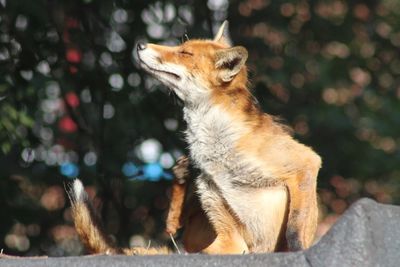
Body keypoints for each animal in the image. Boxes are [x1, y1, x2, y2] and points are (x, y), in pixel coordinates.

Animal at [66, 20, 322, 255]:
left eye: (185, 54)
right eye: (181, 47)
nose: (140, 45)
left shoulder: (306, 162)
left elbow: (296, 228)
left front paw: (298, 250)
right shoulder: (225, 223)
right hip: (207, 190)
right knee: (176, 228)